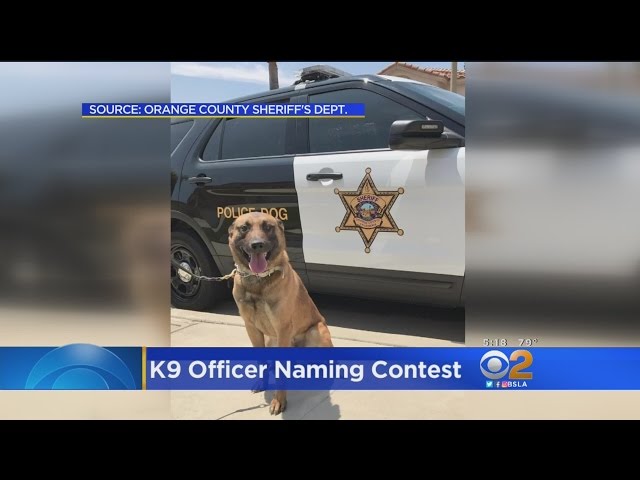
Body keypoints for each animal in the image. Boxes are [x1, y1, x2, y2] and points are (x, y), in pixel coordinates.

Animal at [228, 212, 333, 415]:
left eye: (268, 227)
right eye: (244, 228)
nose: (257, 244)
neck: (258, 281)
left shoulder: (283, 327)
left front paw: (279, 400)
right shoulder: (252, 328)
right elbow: (261, 360)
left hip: (315, 330)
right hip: (271, 339)